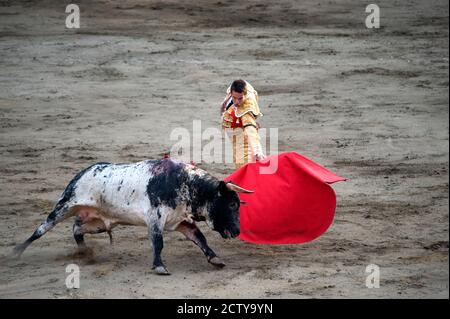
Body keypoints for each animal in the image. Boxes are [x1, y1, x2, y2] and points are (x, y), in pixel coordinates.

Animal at [12, 158, 251, 276]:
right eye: (231, 204)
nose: (237, 230)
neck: (186, 184)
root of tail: (81, 173)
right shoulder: (155, 219)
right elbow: (158, 242)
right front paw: (159, 267)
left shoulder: (181, 220)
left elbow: (200, 238)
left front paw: (215, 259)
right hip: (65, 205)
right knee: (41, 229)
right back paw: (17, 252)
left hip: (98, 222)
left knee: (77, 229)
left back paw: (84, 251)